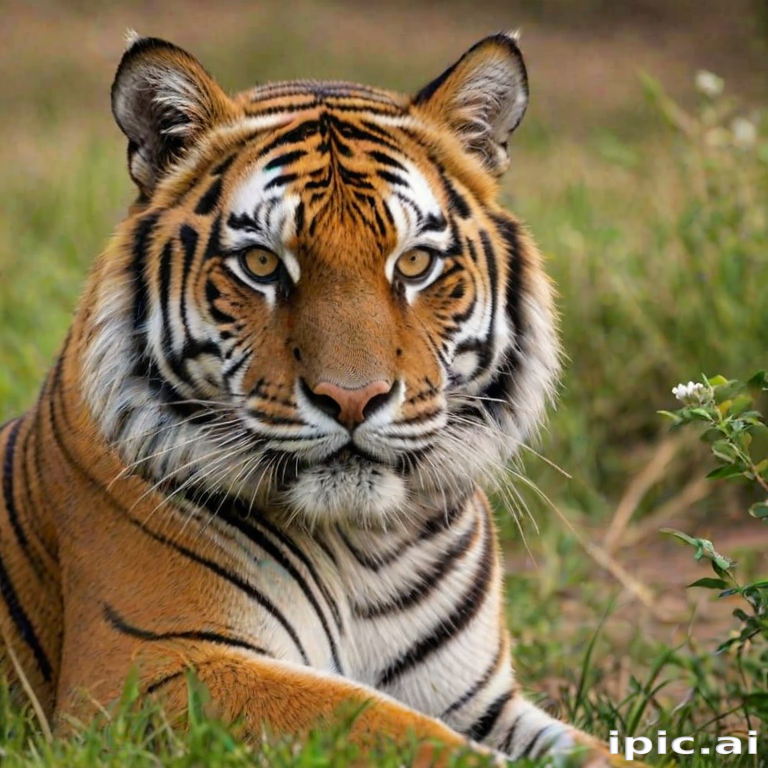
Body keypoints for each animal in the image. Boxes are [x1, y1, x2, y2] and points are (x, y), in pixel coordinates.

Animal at [0, 31, 635, 767]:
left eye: (414, 263)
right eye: (262, 264)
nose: (353, 400)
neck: (365, 547)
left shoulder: (480, 700)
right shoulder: (148, 673)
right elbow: (384, 725)